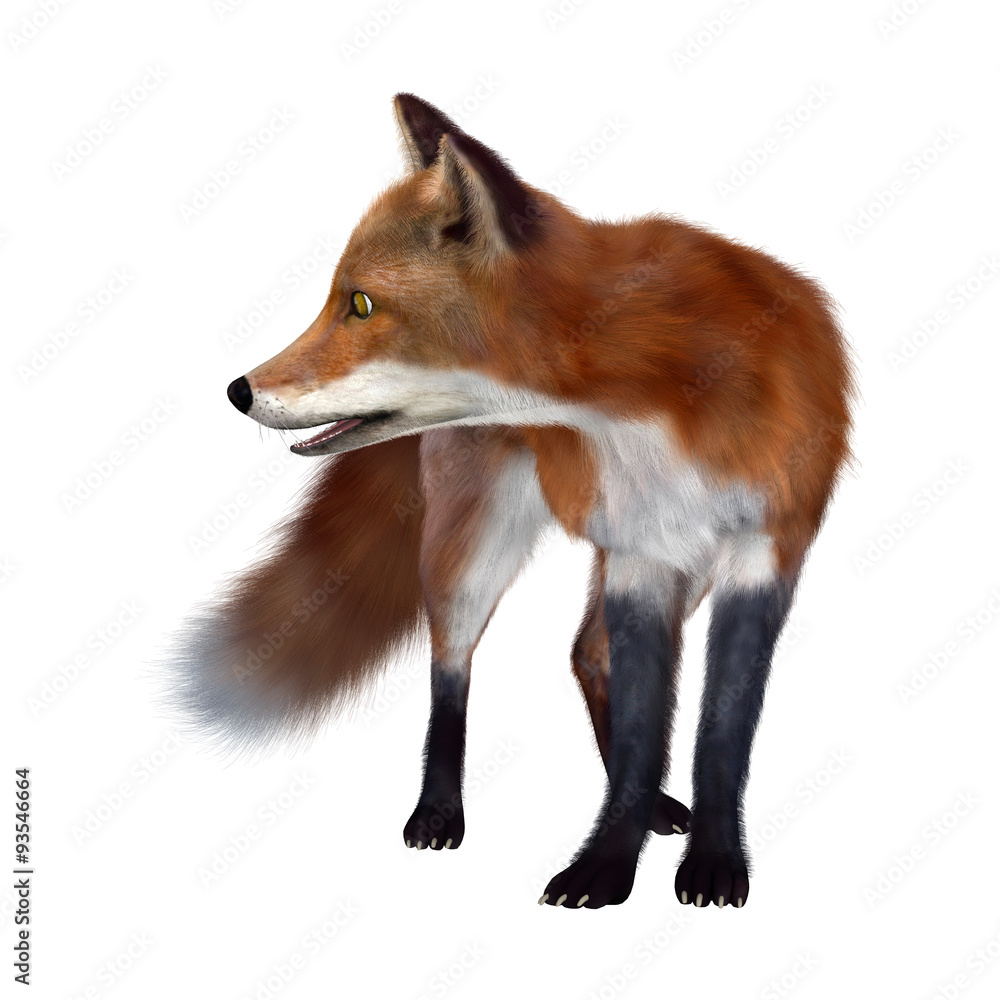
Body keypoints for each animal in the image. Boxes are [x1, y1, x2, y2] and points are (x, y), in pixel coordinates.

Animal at [167, 93, 856, 911]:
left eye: (359, 303)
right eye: (339, 299)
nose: (238, 391)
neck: (657, 395)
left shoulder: (758, 550)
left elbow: (720, 732)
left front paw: (712, 862)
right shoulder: (644, 556)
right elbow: (639, 731)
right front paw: (606, 866)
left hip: (675, 562)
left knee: (585, 650)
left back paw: (658, 805)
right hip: (479, 548)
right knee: (452, 664)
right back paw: (440, 810)